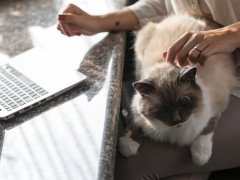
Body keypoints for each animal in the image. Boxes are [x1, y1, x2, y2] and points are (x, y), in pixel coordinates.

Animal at [118, 15, 236, 166]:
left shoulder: (217, 105)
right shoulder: (136, 110)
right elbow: (133, 123)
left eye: (184, 102)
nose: (177, 120)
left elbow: (206, 129)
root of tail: (178, 16)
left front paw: (200, 156)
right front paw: (128, 145)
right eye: (162, 109)